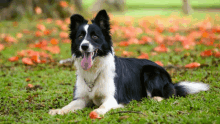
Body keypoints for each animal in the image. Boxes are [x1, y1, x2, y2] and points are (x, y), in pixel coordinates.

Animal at [48, 9, 210, 117]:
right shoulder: (81, 98)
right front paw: (58, 110)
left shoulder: (112, 98)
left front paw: (97, 111)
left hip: (150, 72)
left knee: (168, 94)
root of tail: (169, 79)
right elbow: (69, 105)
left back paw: (154, 98)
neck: (95, 70)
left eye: (94, 36)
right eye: (80, 36)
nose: (84, 46)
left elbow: (103, 106)